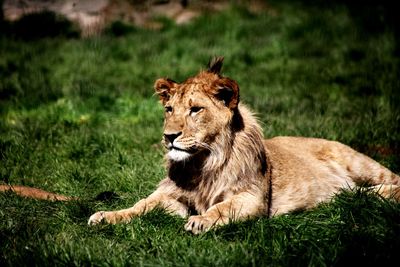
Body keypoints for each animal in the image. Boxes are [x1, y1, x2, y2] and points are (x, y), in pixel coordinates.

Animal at [88, 57, 400, 234]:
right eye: (169, 109)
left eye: (195, 110)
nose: (169, 136)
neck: (202, 163)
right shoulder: (171, 198)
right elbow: (140, 206)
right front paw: (107, 216)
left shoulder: (253, 198)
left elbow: (222, 207)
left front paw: (201, 221)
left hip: (359, 163)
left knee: (391, 180)